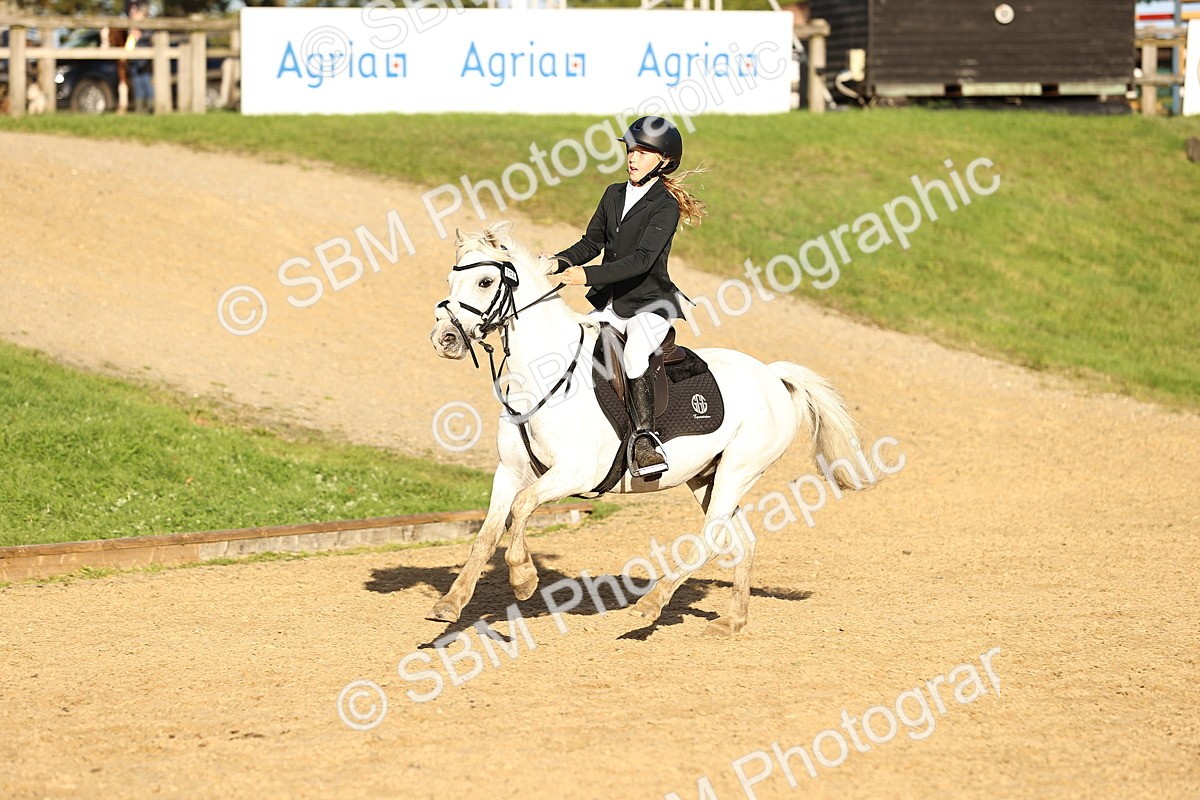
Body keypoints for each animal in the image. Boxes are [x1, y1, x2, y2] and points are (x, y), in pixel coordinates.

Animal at [429, 221, 866, 636]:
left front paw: (523, 577)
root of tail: (772, 376)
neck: (542, 375)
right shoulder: (510, 471)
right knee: (741, 540)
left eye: (485, 282)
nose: (444, 339)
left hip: (739, 469)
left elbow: (521, 508)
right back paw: (732, 621)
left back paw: (651, 604)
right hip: (708, 477)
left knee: (711, 538)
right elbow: (488, 532)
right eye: (450, 280)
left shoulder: (575, 472)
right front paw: (450, 603)